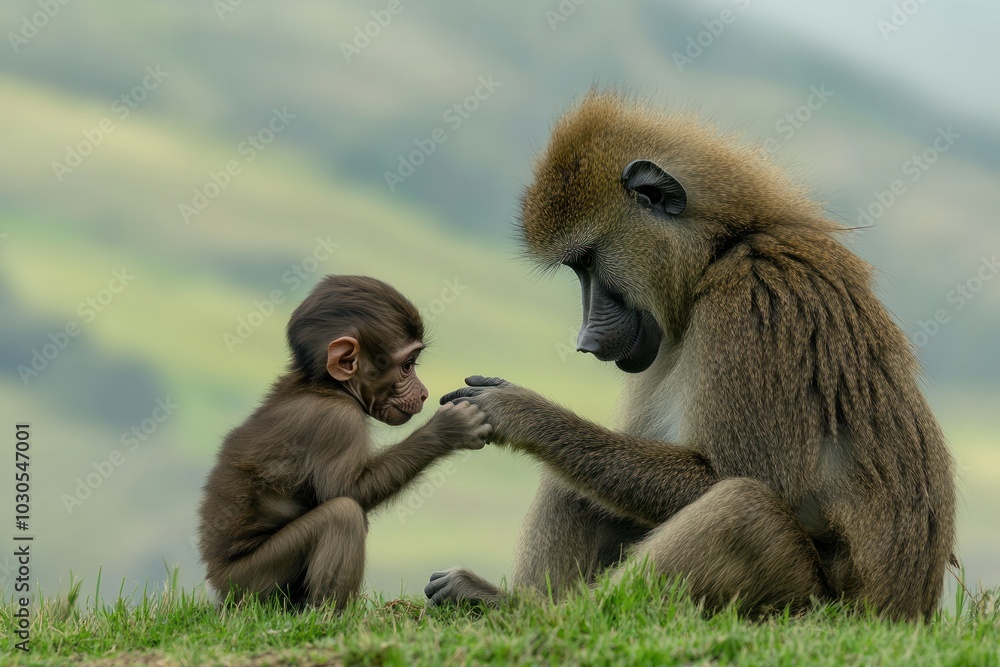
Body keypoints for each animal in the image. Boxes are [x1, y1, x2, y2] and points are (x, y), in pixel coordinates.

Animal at [199, 275, 491, 610]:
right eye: (408, 365)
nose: (424, 392)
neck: (326, 387)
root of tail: (219, 588)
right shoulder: (338, 422)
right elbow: (346, 491)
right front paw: (448, 429)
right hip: (249, 584)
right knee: (342, 515)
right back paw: (326, 614)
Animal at [425, 92, 955, 620]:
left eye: (587, 262)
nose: (585, 341)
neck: (723, 249)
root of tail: (905, 613)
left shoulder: (750, 303)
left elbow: (731, 477)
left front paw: (522, 414)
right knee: (578, 483)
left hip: (806, 608)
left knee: (742, 508)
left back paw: (535, 612)